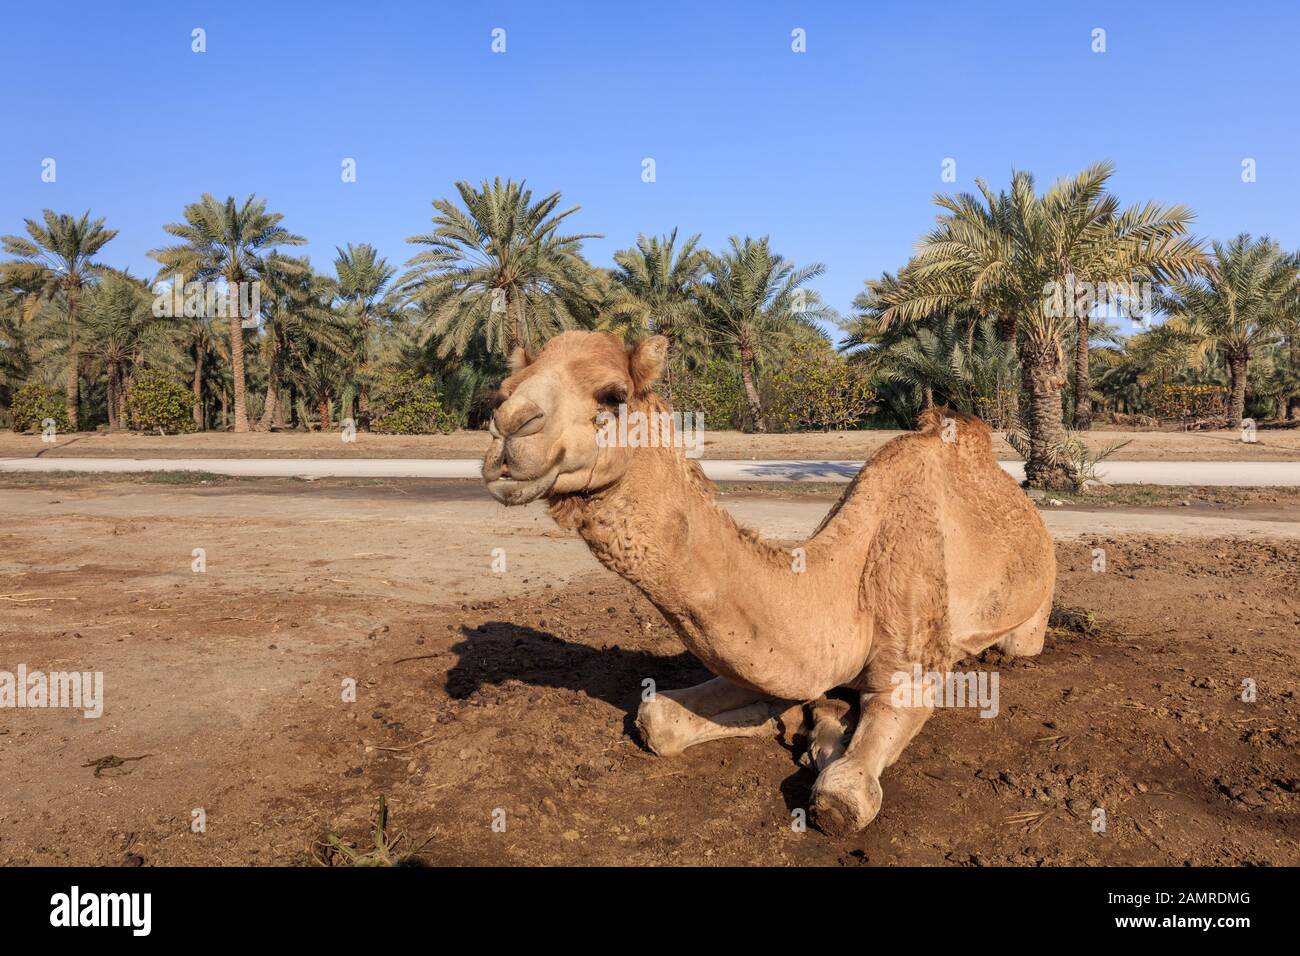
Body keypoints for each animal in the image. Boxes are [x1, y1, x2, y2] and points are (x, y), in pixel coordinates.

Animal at [483, 330, 1050, 837]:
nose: (508, 429)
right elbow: (657, 718)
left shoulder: (910, 667)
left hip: (1032, 618)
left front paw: (824, 739)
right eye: (502, 391)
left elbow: (843, 794)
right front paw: (801, 722)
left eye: (613, 396)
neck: (844, 587)